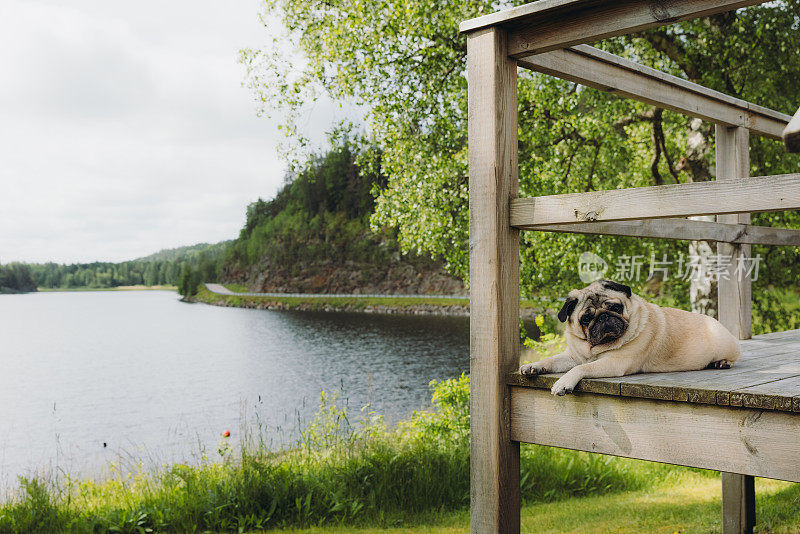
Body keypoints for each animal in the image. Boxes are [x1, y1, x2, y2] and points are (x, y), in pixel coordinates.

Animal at [520, 280, 740, 398]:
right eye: (586, 319)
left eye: (615, 308)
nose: (604, 317)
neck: (594, 349)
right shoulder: (572, 356)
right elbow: (552, 360)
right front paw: (533, 366)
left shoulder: (614, 362)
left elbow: (581, 368)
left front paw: (563, 382)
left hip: (723, 343)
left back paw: (722, 362)